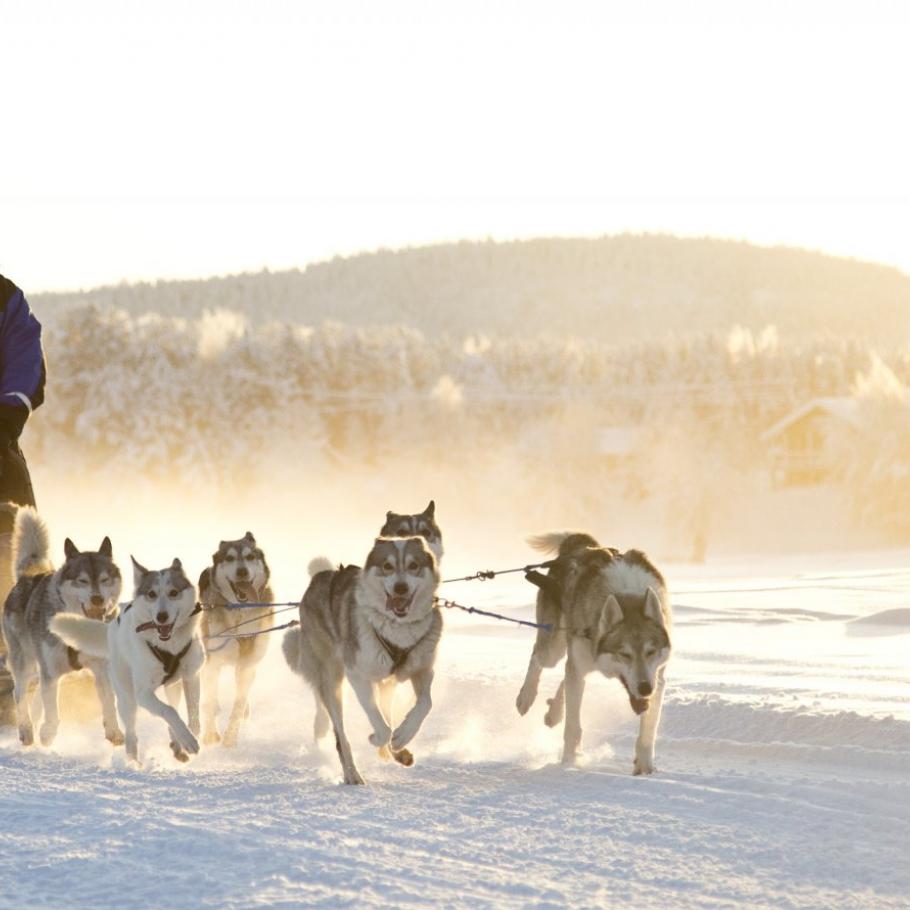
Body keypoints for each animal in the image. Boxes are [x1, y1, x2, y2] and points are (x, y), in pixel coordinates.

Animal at [0, 506, 124, 748]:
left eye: (104, 580)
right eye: (82, 581)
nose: (97, 599)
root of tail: (28, 577)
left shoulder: (101, 668)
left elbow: (109, 703)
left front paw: (114, 731)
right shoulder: (50, 669)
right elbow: (52, 710)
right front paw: (48, 733)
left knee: (38, 692)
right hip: (25, 661)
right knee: (20, 694)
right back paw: (27, 730)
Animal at [52, 560, 206, 764]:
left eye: (173, 592)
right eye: (151, 594)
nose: (161, 616)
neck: (169, 646)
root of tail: (111, 626)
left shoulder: (191, 677)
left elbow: (193, 715)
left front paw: (188, 736)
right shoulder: (143, 693)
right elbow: (169, 711)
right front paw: (188, 740)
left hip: (173, 685)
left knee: (173, 706)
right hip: (127, 698)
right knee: (132, 734)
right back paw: (133, 763)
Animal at [197, 536, 274, 748]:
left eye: (250, 557)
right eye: (230, 558)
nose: (242, 571)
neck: (240, 614)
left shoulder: (247, 664)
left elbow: (238, 704)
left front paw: (230, 737)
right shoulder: (212, 662)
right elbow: (207, 699)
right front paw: (209, 734)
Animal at [284, 536, 444, 788]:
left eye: (413, 565)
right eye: (387, 566)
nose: (400, 587)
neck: (397, 628)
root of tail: (322, 576)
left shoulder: (422, 669)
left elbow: (425, 704)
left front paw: (402, 737)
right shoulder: (358, 674)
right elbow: (379, 723)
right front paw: (377, 737)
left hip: (386, 682)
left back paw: (397, 753)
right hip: (332, 681)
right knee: (340, 735)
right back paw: (352, 774)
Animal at [516, 536, 672, 776]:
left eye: (651, 651)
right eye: (624, 654)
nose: (645, 688)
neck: (625, 595)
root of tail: (581, 543)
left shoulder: (659, 679)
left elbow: (648, 732)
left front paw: (645, 768)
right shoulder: (578, 665)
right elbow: (572, 728)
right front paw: (569, 763)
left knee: (565, 678)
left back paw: (554, 712)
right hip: (553, 649)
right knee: (538, 656)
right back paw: (526, 696)